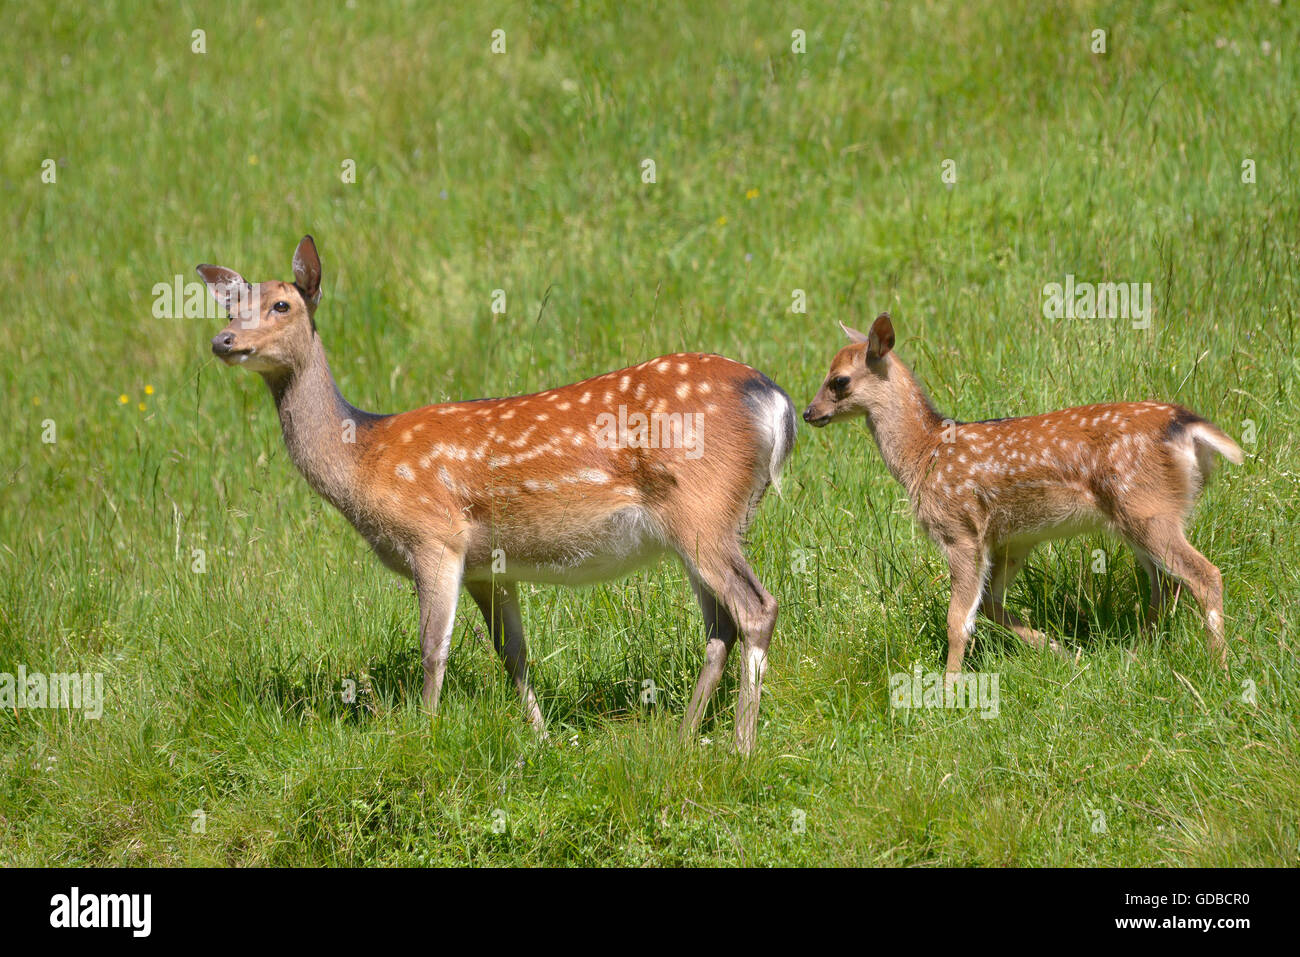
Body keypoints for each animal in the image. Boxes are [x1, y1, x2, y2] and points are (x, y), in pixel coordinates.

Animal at [201, 235, 790, 748]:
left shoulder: (435, 537)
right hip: (701, 523)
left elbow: (432, 648)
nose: (222, 341)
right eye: (230, 309)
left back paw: (740, 744)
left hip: (702, 508)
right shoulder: (489, 565)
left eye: (281, 304)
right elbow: (513, 653)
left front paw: (425, 735)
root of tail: (776, 402)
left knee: (756, 607)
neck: (363, 458)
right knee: (720, 625)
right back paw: (684, 738)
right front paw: (543, 737)